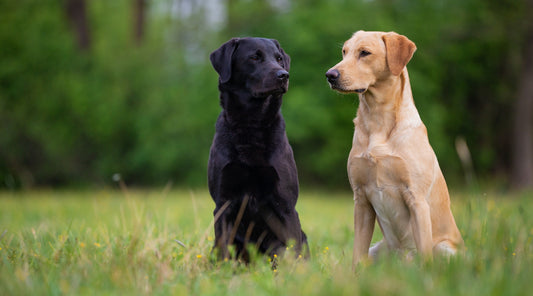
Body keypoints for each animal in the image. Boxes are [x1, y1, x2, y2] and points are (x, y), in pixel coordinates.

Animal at [208, 37, 308, 262]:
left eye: (279, 59)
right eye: (254, 57)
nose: (283, 75)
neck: (251, 124)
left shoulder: (286, 206)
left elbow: (293, 249)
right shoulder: (223, 204)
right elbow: (224, 249)